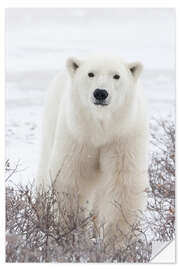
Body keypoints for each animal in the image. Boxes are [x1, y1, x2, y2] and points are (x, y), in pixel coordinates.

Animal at [36, 54, 149, 243]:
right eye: (90, 74)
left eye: (116, 76)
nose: (100, 93)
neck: (100, 129)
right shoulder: (78, 135)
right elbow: (73, 180)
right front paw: (72, 235)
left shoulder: (122, 136)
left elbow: (122, 184)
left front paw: (115, 243)